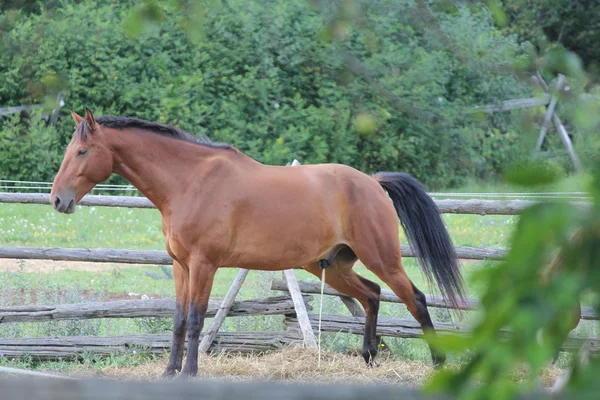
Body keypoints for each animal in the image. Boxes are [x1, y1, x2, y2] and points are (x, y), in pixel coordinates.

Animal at [50, 109, 464, 378]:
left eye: (82, 151)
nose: (57, 200)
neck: (189, 181)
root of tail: (373, 182)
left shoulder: (204, 264)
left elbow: (197, 319)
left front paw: (189, 374)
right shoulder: (181, 266)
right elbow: (179, 320)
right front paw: (169, 373)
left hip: (382, 257)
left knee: (415, 299)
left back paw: (438, 363)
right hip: (331, 265)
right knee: (372, 295)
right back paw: (369, 357)